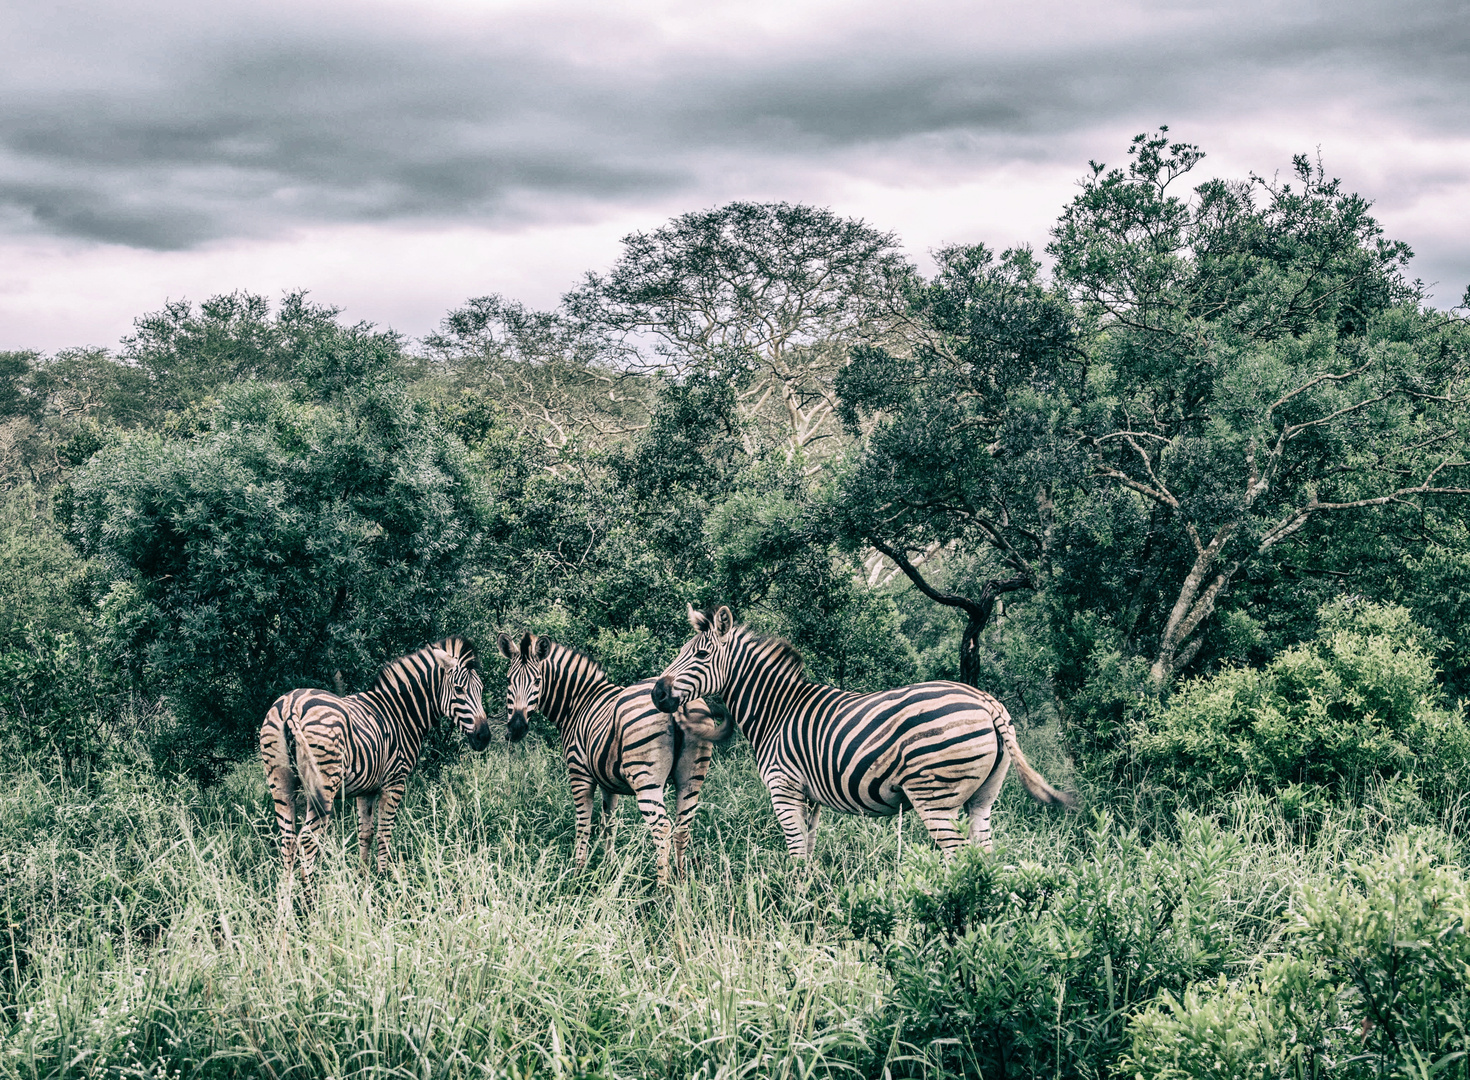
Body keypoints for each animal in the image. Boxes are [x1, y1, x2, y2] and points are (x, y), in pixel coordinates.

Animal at [261, 637, 490, 911]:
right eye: (458, 690)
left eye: (481, 689)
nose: (484, 737)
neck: (401, 714)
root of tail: (291, 705)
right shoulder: (395, 781)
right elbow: (384, 833)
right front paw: (386, 882)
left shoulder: (366, 788)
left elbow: (366, 834)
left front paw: (364, 882)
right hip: (323, 783)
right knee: (306, 839)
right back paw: (311, 906)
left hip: (281, 782)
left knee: (287, 841)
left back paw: (284, 908)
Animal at [499, 634, 723, 887]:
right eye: (508, 680)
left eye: (537, 681)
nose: (516, 728)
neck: (578, 703)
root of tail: (677, 703)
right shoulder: (608, 781)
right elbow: (609, 824)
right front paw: (609, 868)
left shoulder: (579, 774)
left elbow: (584, 823)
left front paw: (577, 873)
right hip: (691, 780)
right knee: (683, 827)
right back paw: (681, 884)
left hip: (646, 780)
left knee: (662, 828)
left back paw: (662, 889)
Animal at [649, 608, 1076, 864]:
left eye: (701, 656)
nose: (657, 693)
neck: (776, 711)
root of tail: (987, 702)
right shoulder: (810, 797)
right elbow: (808, 851)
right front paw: (810, 906)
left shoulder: (783, 788)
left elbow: (795, 853)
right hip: (982, 799)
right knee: (984, 859)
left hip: (935, 797)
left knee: (958, 862)